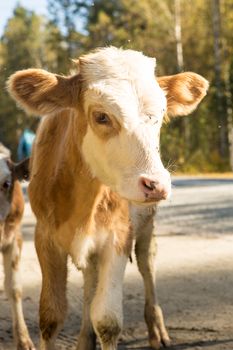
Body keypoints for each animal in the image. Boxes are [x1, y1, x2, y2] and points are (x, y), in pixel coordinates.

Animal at [7, 47, 208, 350]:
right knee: (90, 283)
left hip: (146, 224)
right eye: (102, 116)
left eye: (160, 115)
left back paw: (157, 330)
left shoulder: (118, 236)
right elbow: (51, 316)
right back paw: (84, 339)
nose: (156, 184)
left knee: (147, 264)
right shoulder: (45, 237)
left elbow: (107, 319)